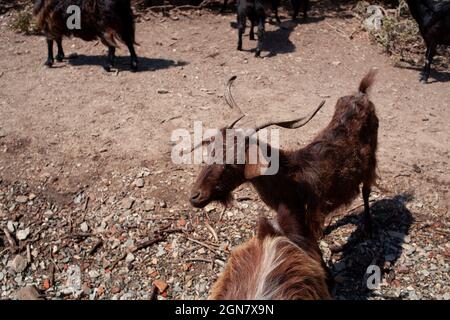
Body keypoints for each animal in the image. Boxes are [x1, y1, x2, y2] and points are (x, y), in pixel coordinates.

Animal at [190, 69, 380, 242]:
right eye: (212, 152)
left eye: (235, 162)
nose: (195, 196)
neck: (289, 181)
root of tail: (361, 95)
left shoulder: (311, 216)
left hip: (372, 160)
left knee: (366, 190)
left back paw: (369, 228)